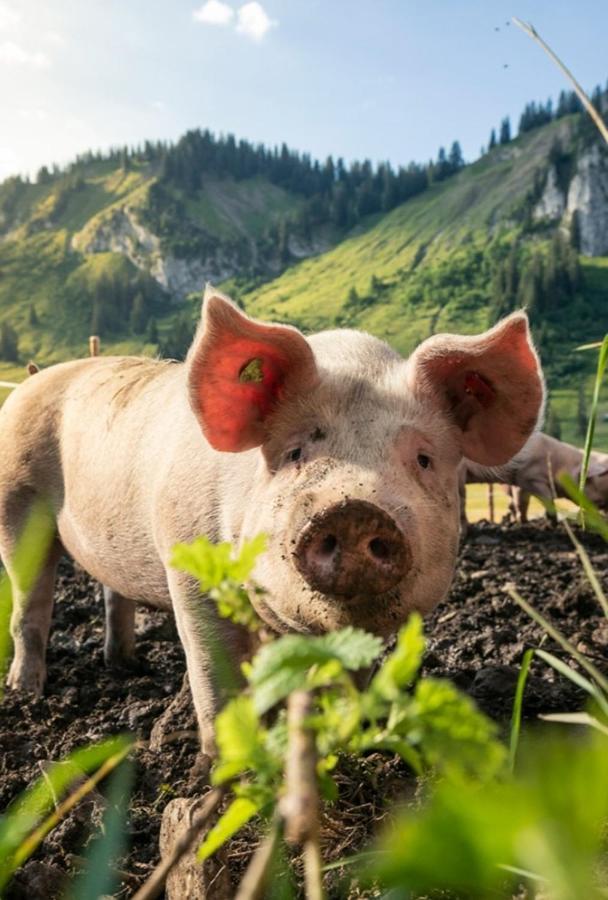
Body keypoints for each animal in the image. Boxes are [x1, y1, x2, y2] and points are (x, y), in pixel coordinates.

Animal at [0, 290, 544, 752]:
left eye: (424, 459)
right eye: (295, 453)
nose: (355, 510)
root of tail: (30, 382)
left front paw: (344, 738)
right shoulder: (189, 564)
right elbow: (215, 672)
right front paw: (228, 762)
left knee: (113, 594)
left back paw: (125, 665)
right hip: (16, 502)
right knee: (31, 604)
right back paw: (26, 692)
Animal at [460, 430, 608, 528]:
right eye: (597, 481)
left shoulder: (520, 482)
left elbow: (523, 502)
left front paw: (524, 522)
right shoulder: (531, 478)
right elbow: (546, 499)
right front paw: (553, 524)